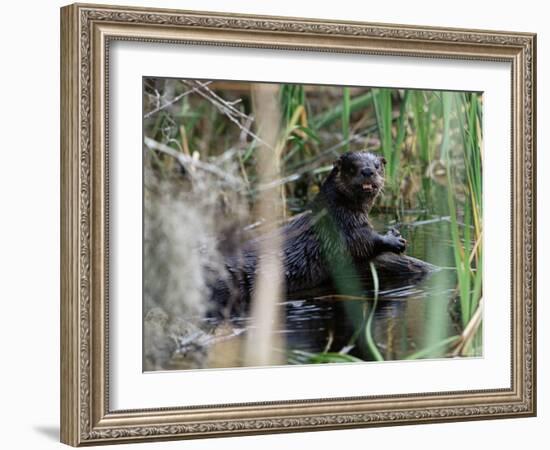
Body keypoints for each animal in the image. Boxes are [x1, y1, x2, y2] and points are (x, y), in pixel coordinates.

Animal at [213, 151, 408, 316]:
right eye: (352, 167)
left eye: (377, 166)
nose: (367, 171)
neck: (335, 211)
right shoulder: (344, 229)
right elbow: (364, 242)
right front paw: (394, 239)